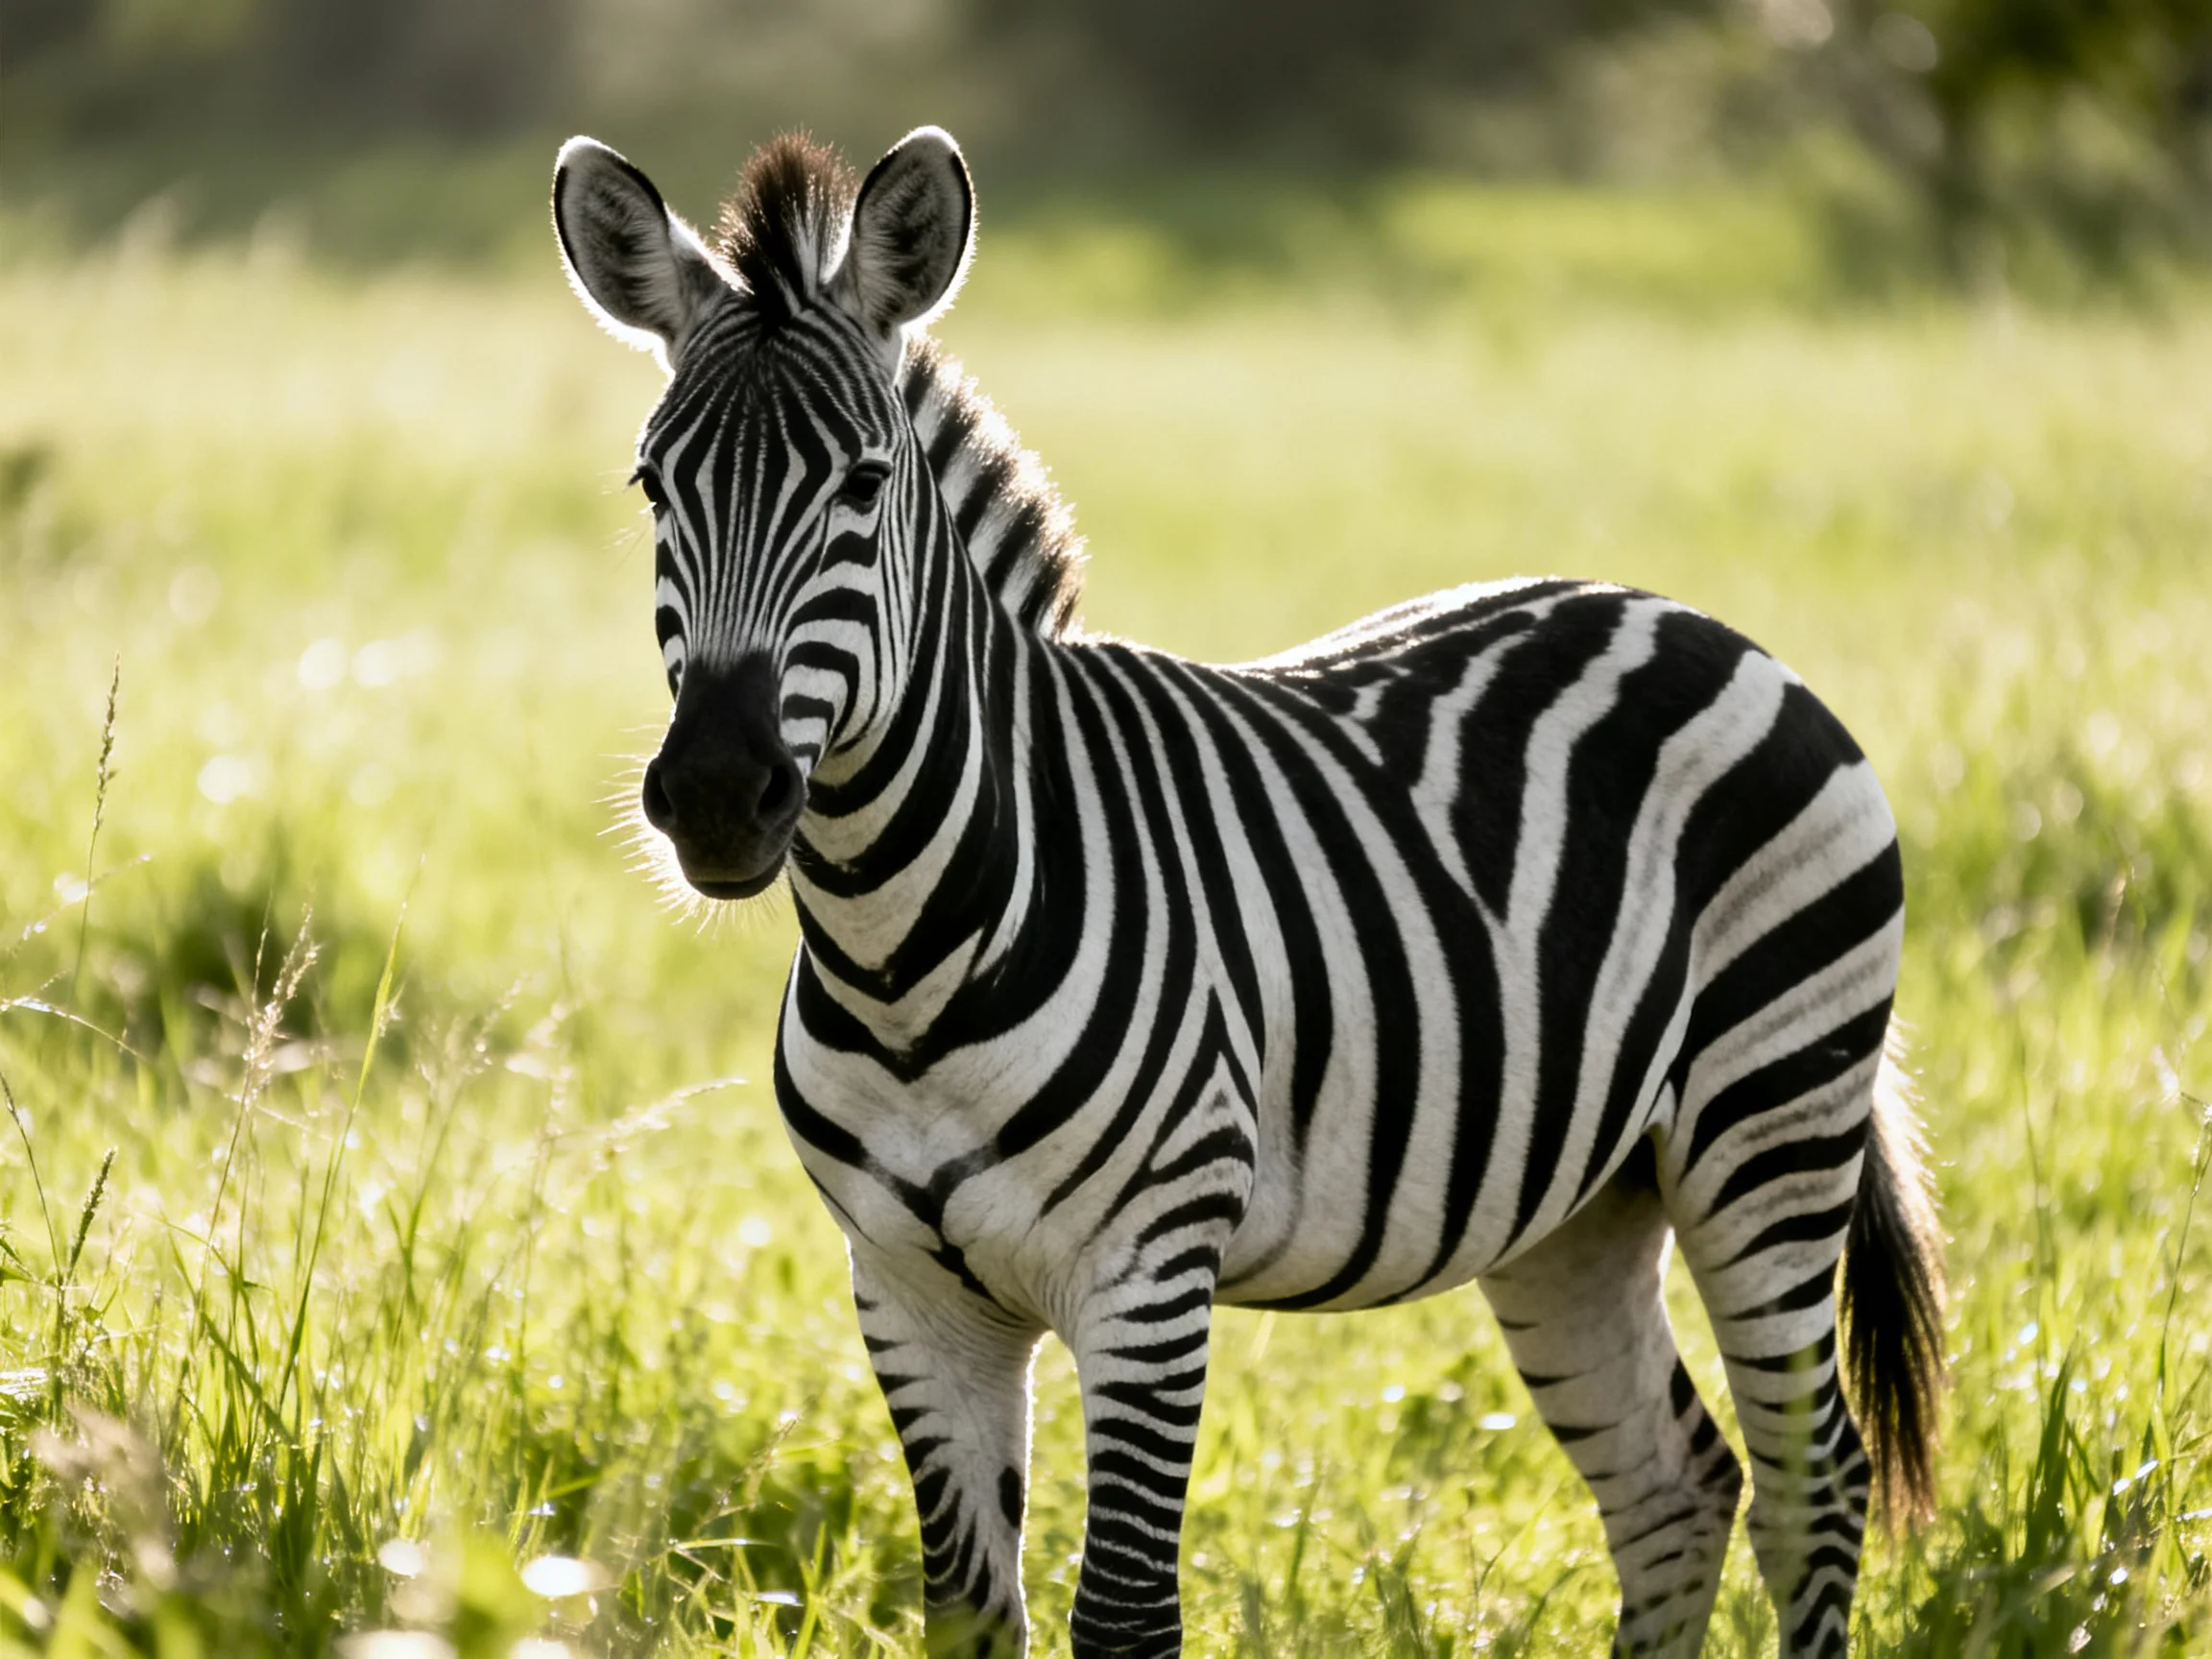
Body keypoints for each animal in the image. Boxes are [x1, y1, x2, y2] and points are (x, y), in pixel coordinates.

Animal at [551, 125, 1946, 1658]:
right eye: (651, 488)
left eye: (862, 484)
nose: (716, 792)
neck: (906, 954)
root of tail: (1699, 625)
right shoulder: (909, 1292)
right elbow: (970, 1615)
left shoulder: (1151, 1277)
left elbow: (1124, 1616)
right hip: (1582, 1200)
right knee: (1674, 1486)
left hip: (1770, 1122)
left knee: (1810, 1480)